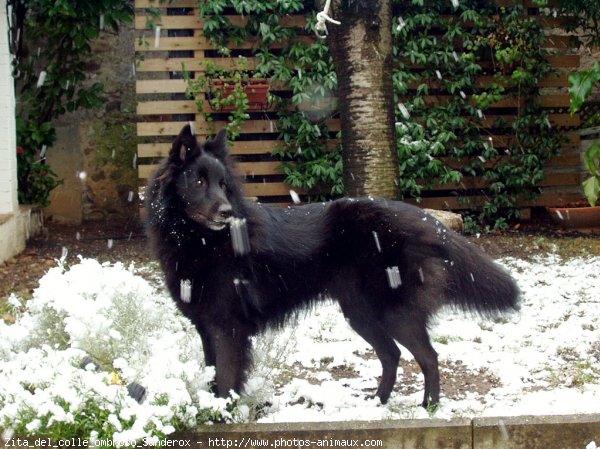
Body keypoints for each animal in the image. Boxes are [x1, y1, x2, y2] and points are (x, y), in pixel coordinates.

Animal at [146, 125, 520, 406]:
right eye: (198, 182)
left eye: (223, 185)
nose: (226, 212)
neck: (202, 241)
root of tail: (425, 219)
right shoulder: (207, 327)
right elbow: (213, 376)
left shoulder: (228, 328)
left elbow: (225, 379)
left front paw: (222, 416)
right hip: (360, 312)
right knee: (391, 354)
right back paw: (377, 402)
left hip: (393, 312)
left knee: (428, 356)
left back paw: (428, 406)